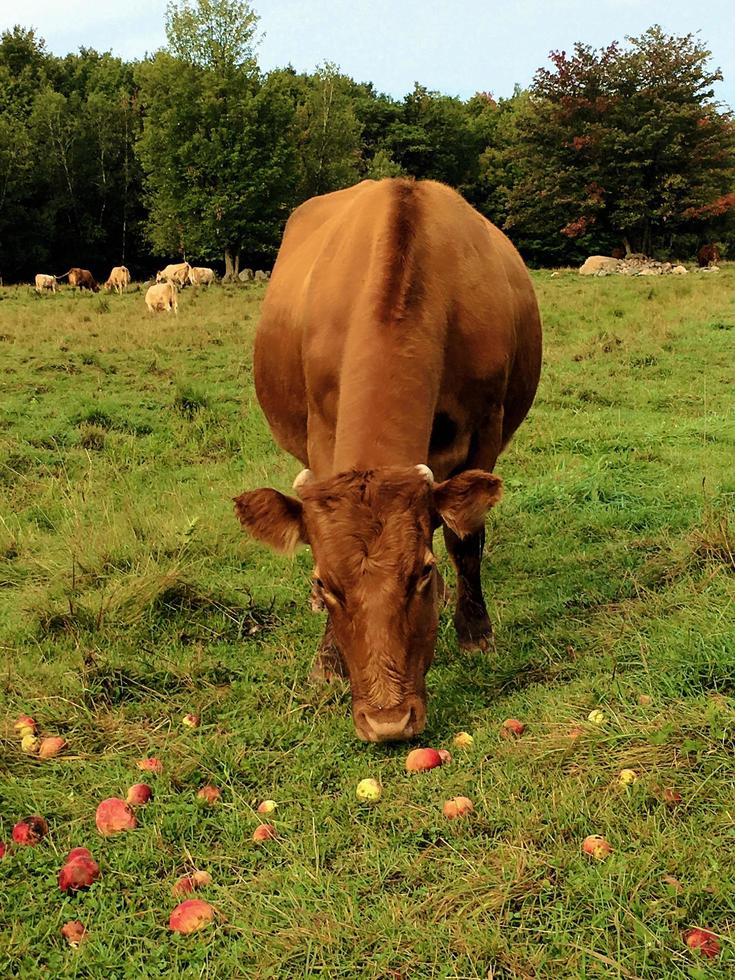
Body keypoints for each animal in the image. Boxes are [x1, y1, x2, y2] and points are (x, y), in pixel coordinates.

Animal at [233, 178, 544, 744]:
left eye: (421, 572)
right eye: (324, 582)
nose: (388, 722)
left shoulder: (486, 427)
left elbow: (465, 539)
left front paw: (475, 631)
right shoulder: (320, 431)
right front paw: (327, 659)